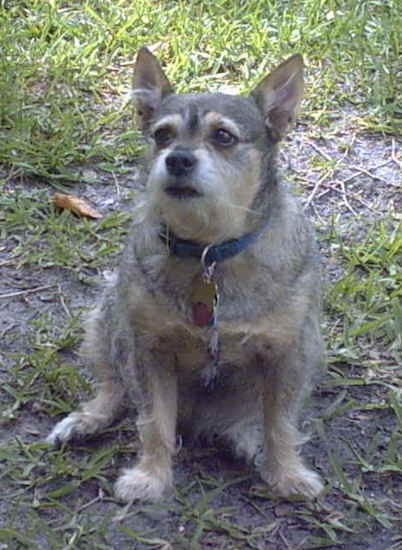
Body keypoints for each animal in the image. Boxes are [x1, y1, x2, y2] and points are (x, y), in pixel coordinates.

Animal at [46, 47, 324, 504]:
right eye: (162, 135)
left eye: (223, 136)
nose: (177, 159)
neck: (208, 252)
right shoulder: (150, 350)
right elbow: (154, 422)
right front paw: (151, 476)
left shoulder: (289, 353)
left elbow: (280, 423)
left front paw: (287, 474)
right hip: (106, 322)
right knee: (113, 385)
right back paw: (88, 419)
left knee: (252, 416)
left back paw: (245, 437)